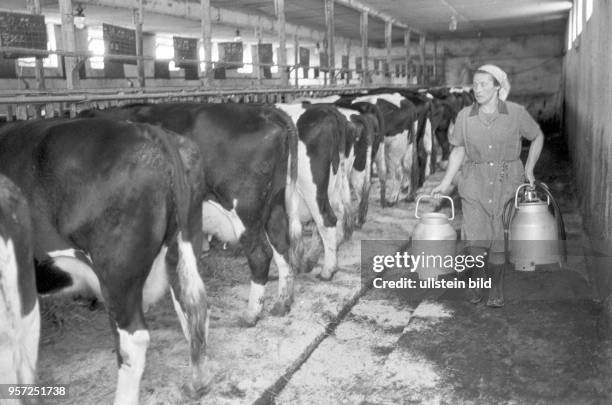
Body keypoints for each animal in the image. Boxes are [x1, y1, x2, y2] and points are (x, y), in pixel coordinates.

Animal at [0, 118, 210, 402]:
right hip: (184, 246)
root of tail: (150, 131)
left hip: (118, 273)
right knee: (192, 307)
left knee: (134, 338)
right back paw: (198, 383)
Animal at [80, 102, 302, 324]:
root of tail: (263, 111)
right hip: (275, 203)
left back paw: (251, 315)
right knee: (282, 246)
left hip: (245, 207)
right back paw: (282, 304)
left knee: (260, 255)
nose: (90, 303)